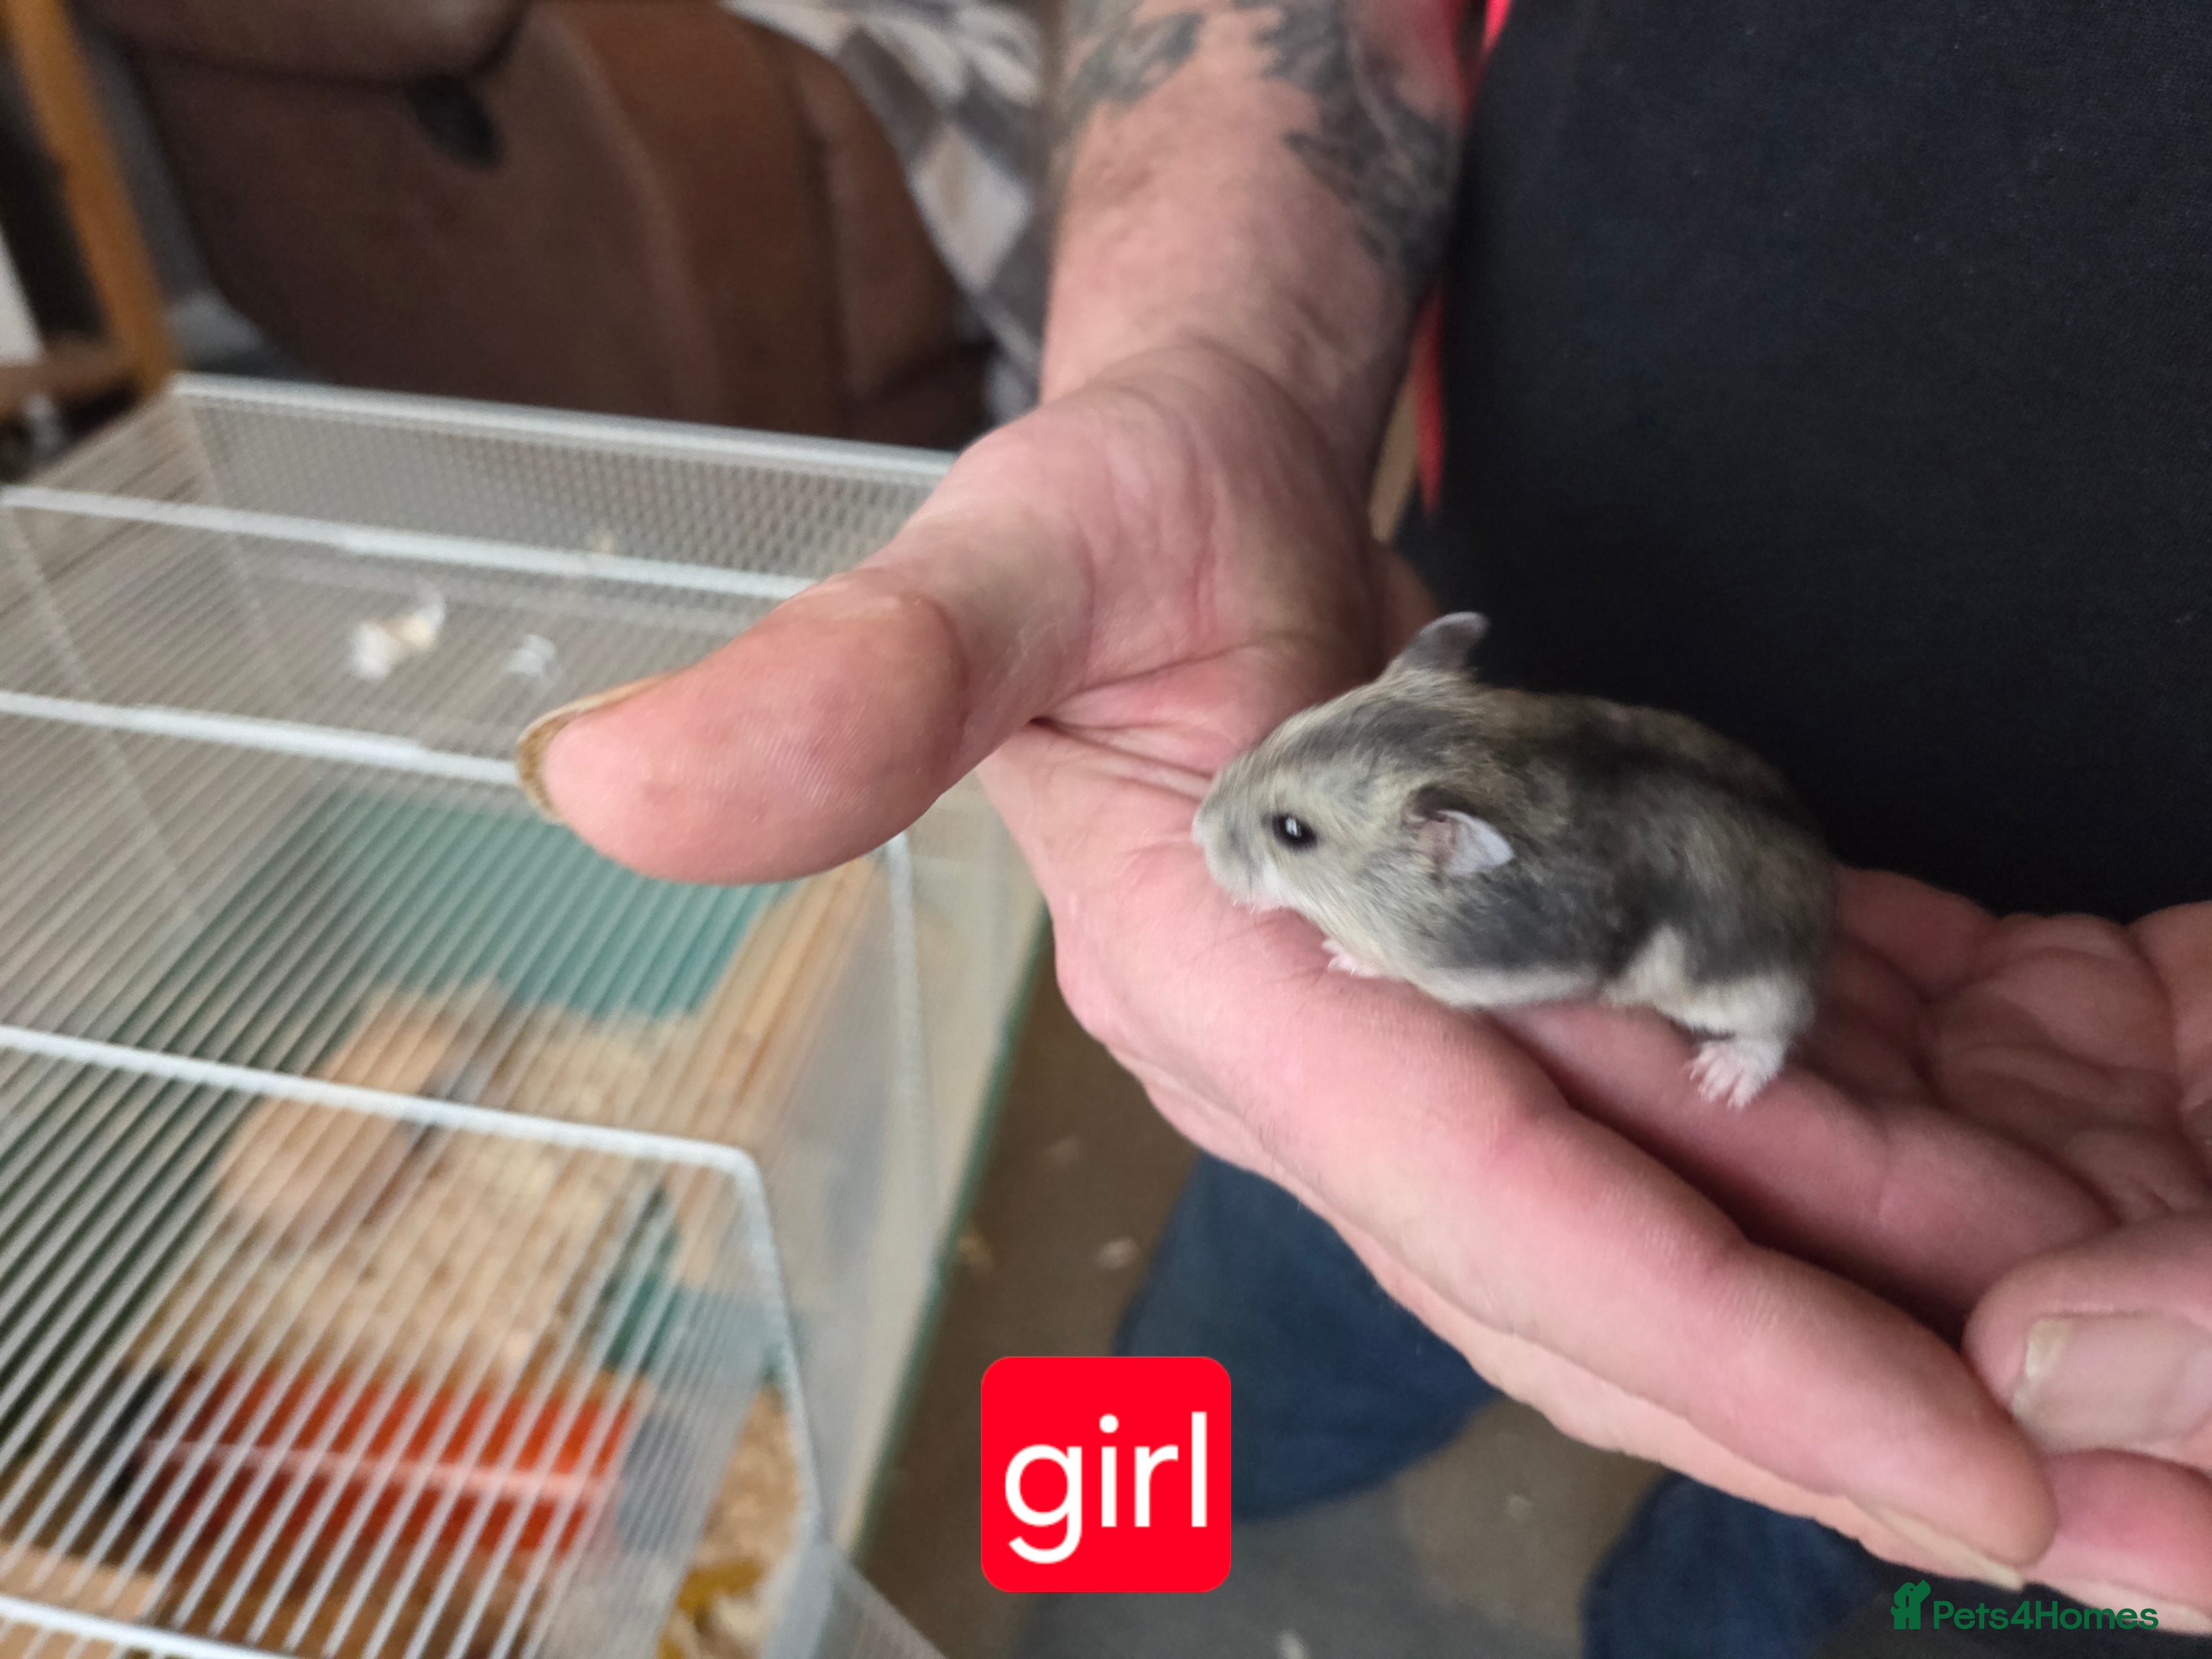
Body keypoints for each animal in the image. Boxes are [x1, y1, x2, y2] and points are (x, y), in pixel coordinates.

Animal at [1193, 614, 1834, 1107]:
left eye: (1293, 832)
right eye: (1284, 727)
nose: (1198, 829)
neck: (1489, 756)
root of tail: (1825, 896)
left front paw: (1340, 953)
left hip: (1743, 988)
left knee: (1782, 1024)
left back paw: (1721, 1078)